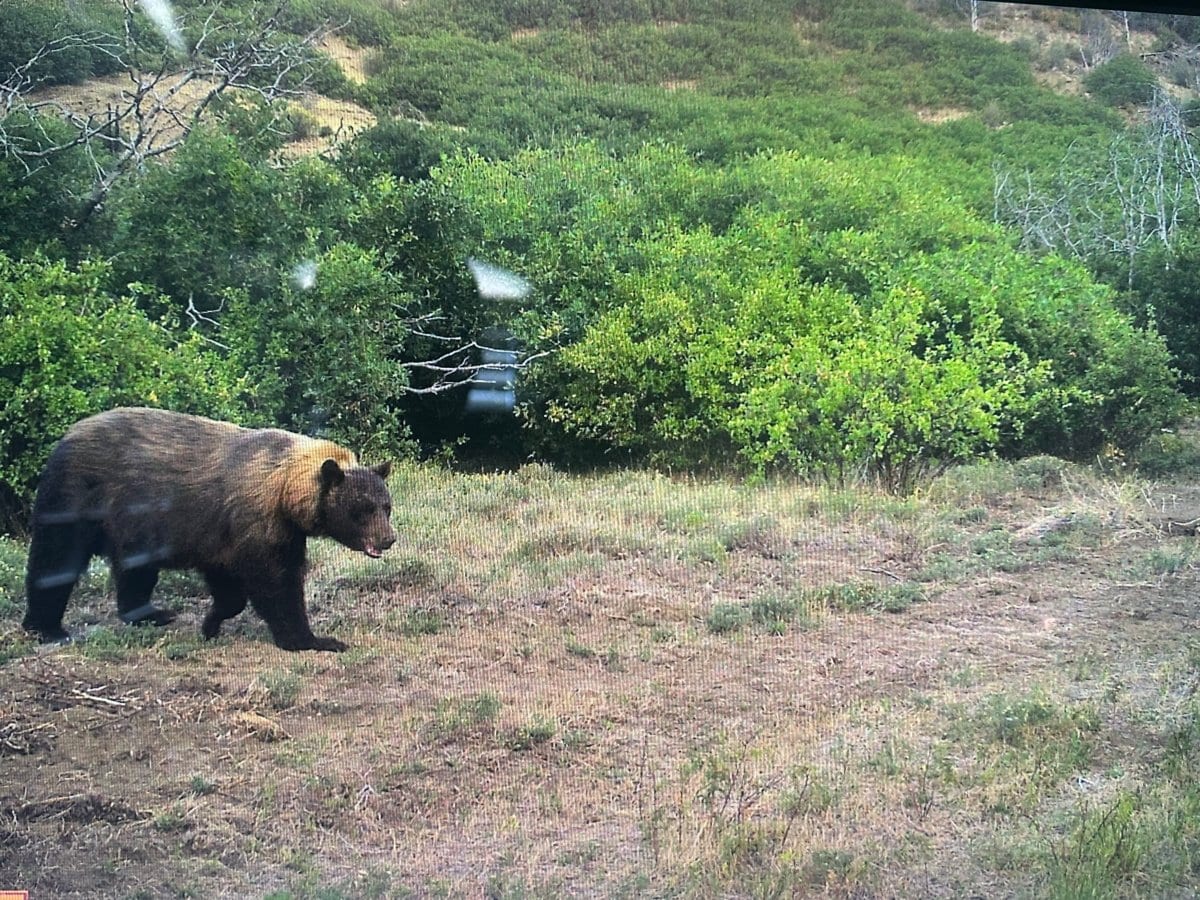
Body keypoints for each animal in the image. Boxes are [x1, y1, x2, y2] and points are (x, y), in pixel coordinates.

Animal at [22, 407, 396, 652]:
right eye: (363, 509)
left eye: (386, 505)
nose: (388, 538)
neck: (284, 491)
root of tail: (65, 437)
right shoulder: (253, 523)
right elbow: (276, 584)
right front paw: (313, 639)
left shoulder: (234, 535)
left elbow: (230, 584)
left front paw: (211, 622)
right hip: (77, 497)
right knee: (55, 560)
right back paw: (46, 627)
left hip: (132, 524)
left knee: (135, 571)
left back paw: (150, 613)